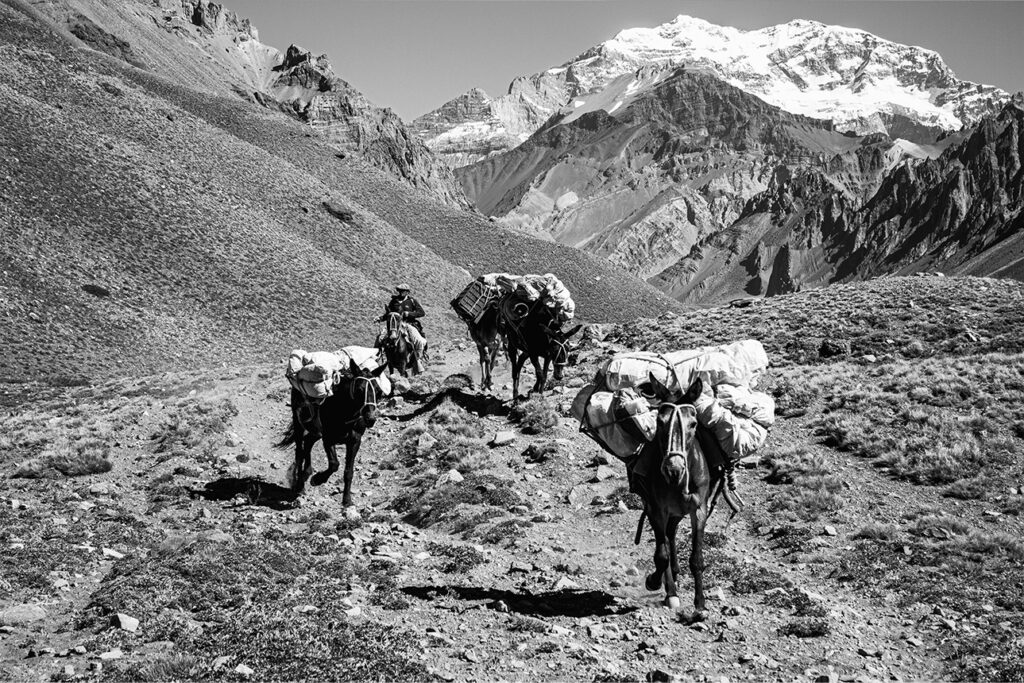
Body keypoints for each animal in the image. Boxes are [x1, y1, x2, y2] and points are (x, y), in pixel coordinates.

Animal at [278, 358, 389, 507]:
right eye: (359, 390)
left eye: (378, 391)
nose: (370, 419)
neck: (345, 411)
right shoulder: (328, 439)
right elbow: (334, 464)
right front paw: (317, 479)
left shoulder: (355, 441)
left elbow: (348, 472)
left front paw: (347, 500)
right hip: (298, 423)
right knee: (299, 452)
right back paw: (300, 486)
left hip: (316, 431)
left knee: (308, 442)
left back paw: (307, 472)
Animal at [626, 374, 724, 614]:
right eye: (660, 422)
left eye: (693, 424)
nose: (674, 469)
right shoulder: (656, 509)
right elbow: (661, 556)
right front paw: (654, 582)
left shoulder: (699, 509)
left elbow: (696, 558)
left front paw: (700, 604)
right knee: (665, 541)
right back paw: (670, 590)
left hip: (679, 511)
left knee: (671, 533)